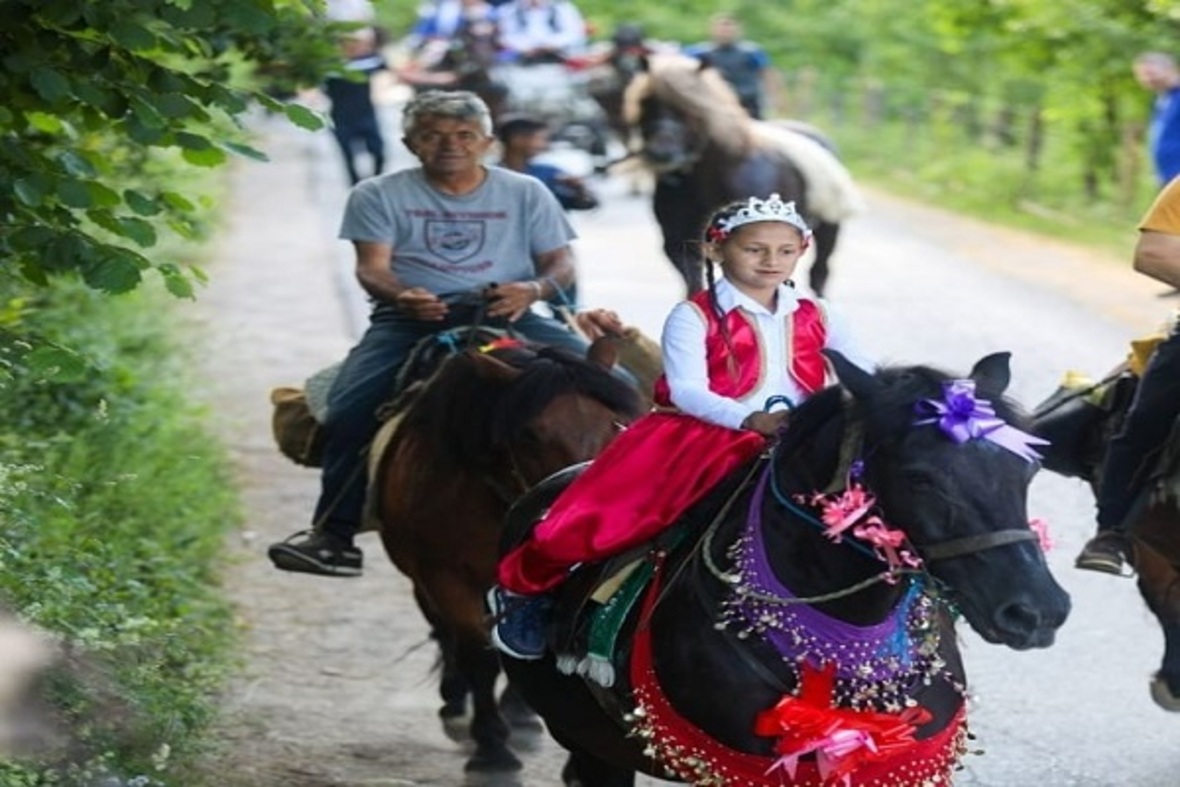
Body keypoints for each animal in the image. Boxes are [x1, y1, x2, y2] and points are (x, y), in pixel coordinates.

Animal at [372, 335, 646, 774]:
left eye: (615, 426)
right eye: (530, 436)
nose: (590, 517)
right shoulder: (443, 574)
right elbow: (477, 652)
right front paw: (491, 748)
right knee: (443, 630)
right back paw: (455, 702)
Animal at [623, 52, 863, 298]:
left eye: (689, 107)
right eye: (645, 102)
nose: (661, 152)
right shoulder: (681, 244)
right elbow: (694, 285)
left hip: (828, 229)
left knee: (820, 271)